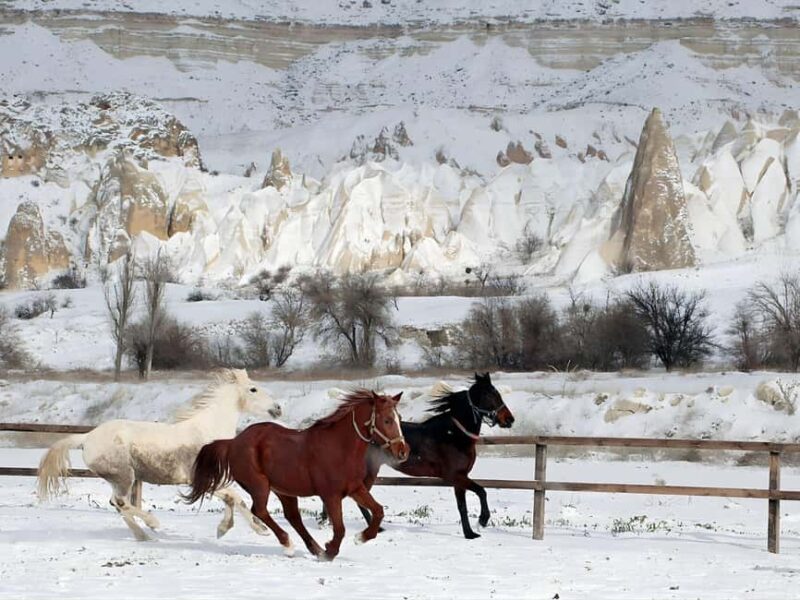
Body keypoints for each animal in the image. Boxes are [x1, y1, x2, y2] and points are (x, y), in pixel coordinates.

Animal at [37, 369, 282, 541]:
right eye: (253, 389)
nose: (278, 408)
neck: (208, 432)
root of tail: (87, 437)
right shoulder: (199, 479)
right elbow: (236, 498)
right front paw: (253, 529)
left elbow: (234, 499)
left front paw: (235, 529)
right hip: (124, 475)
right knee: (121, 502)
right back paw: (152, 524)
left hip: (119, 478)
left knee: (117, 504)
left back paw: (144, 537)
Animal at [184, 389, 410, 561]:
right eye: (387, 420)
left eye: (399, 419)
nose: (403, 452)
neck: (339, 448)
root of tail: (233, 442)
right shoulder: (331, 495)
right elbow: (340, 528)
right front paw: (331, 551)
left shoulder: (355, 489)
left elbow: (378, 511)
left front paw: (360, 538)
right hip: (260, 485)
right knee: (260, 511)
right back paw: (289, 544)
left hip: (284, 490)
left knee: (293, 517)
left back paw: (314, 549)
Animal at [323, 372, 514, 539]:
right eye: (490, 395)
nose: (509, 419)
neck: (453, 434)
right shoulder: (454, 476)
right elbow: (482, 491)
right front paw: (482, 521)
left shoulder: (460, 478)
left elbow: (462, 506)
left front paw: (470, 534)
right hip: (369, 472)